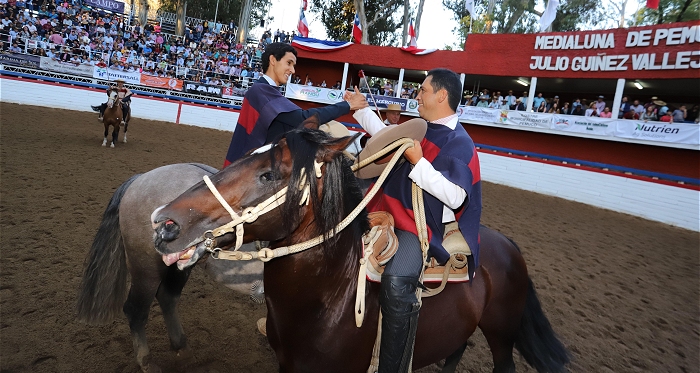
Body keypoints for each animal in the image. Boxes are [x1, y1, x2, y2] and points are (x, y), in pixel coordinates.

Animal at [75, 163, 264, 372]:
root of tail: (141, 178)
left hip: (179, 265)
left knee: (167, 298)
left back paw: (182, 349)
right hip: (146, 270)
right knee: (135, 310)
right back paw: (147, 362)